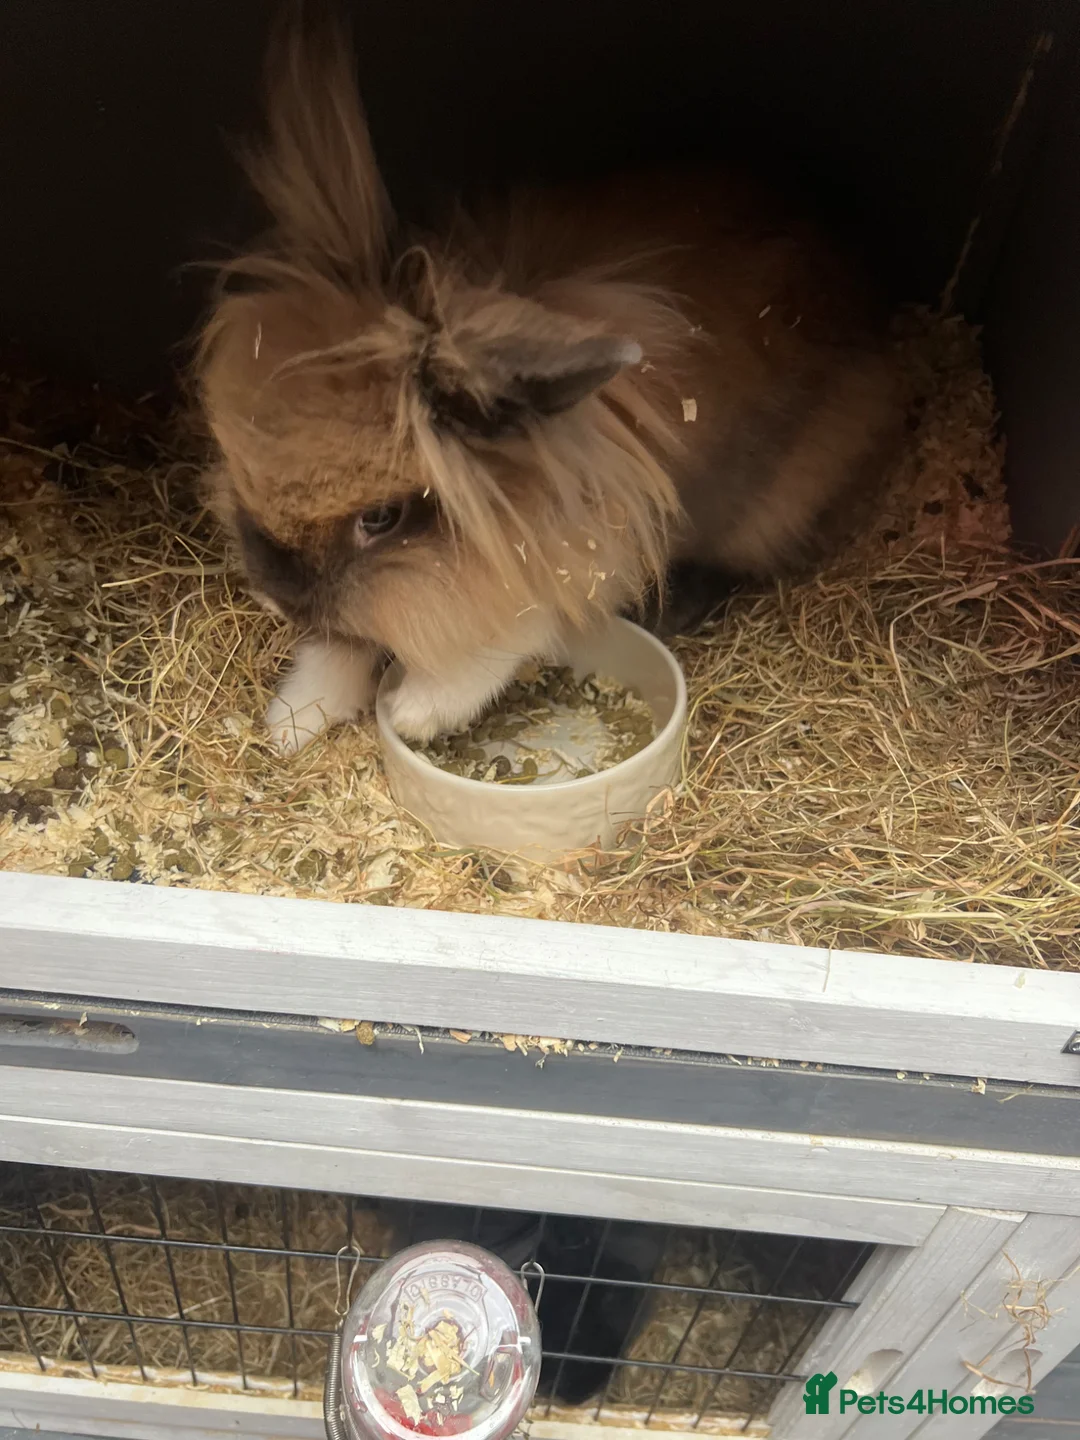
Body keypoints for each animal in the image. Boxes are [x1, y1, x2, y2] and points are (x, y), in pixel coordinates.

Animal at [195, 6, 902, 752]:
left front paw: (416, 711)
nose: (274, 593)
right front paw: (292, 720)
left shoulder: (580, 555)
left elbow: (511, 624)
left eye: (380, 518)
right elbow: (343, 640)